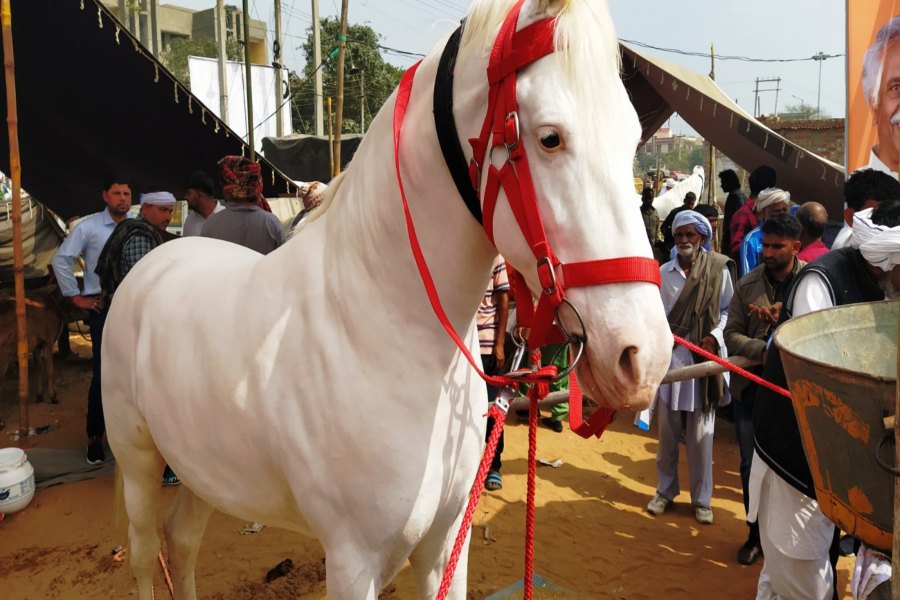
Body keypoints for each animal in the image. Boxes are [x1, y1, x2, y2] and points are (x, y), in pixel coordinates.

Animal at [102, 1, 672, 600]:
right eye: (550, 138)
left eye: (633, 137)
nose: (643, 356)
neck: (378, 329)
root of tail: (156, 260)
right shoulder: (353, 564)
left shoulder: (445, 546)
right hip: (140, 462)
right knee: (146, 553)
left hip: (203, 469)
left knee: (183, 541)